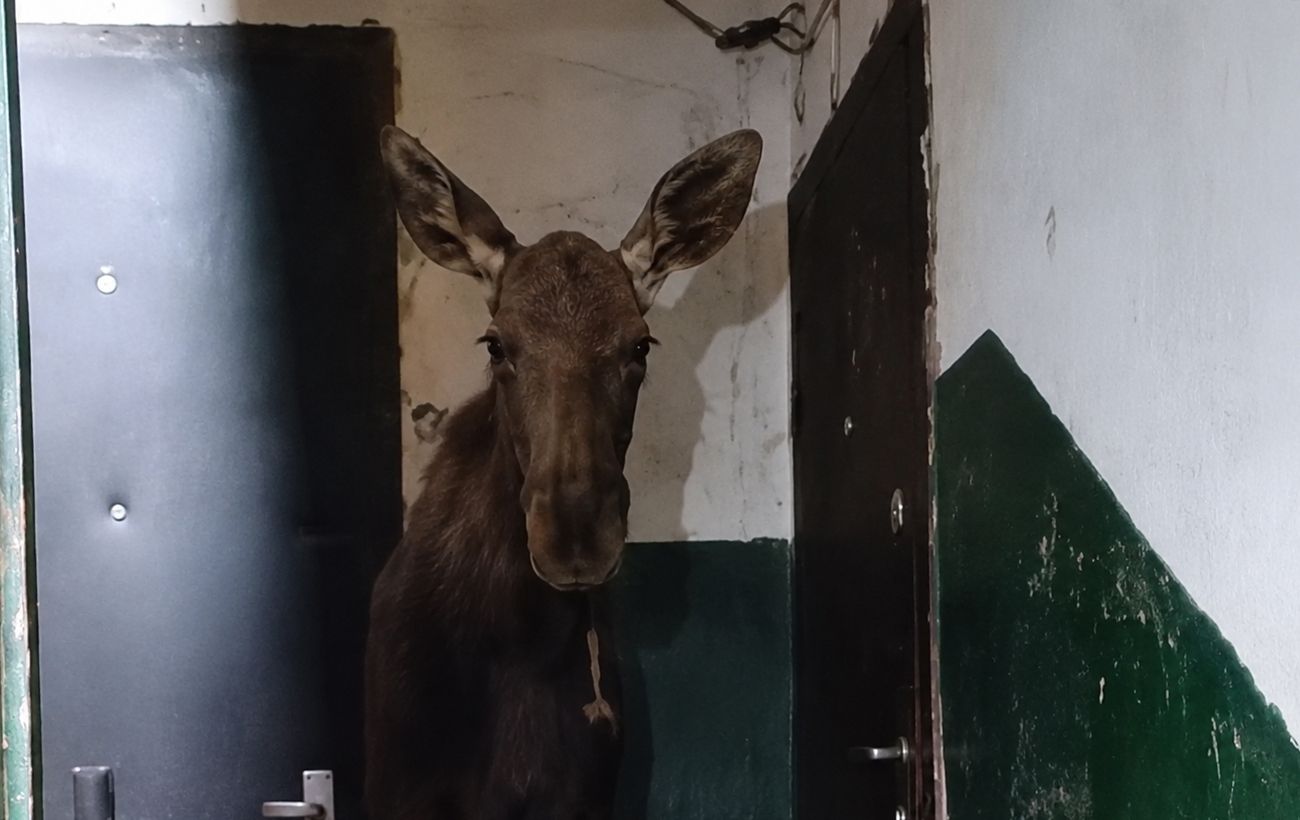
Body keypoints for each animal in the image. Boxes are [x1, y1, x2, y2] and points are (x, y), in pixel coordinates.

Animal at [364, 124, 762, 820]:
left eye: (639, 345)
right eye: (496, 343)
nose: (575, 538)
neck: (518, 635)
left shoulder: (580, 796)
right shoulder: (398, 790)